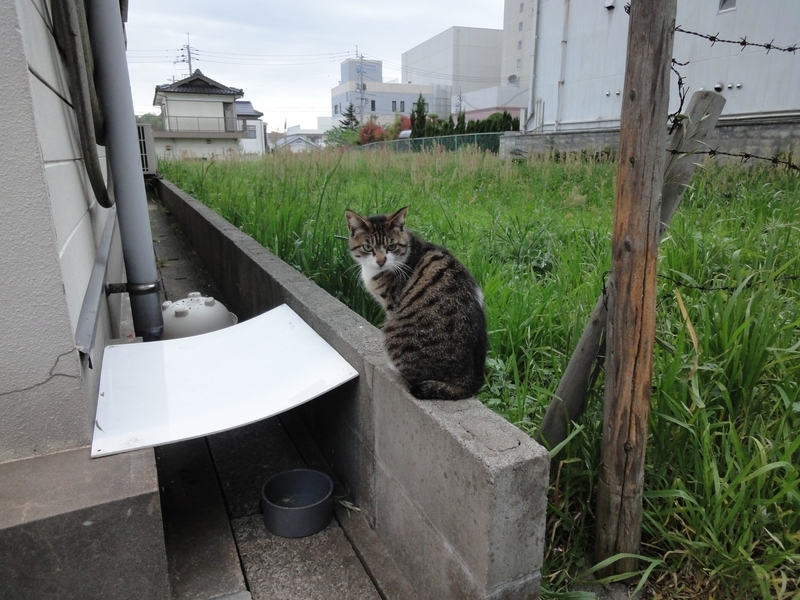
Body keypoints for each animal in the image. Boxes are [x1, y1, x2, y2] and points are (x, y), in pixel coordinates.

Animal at [346, 206, 488, 398]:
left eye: (391, 246)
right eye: (368, 247)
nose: (381, 261)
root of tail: (466, 382)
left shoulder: (392, 304)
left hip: (395, 333)